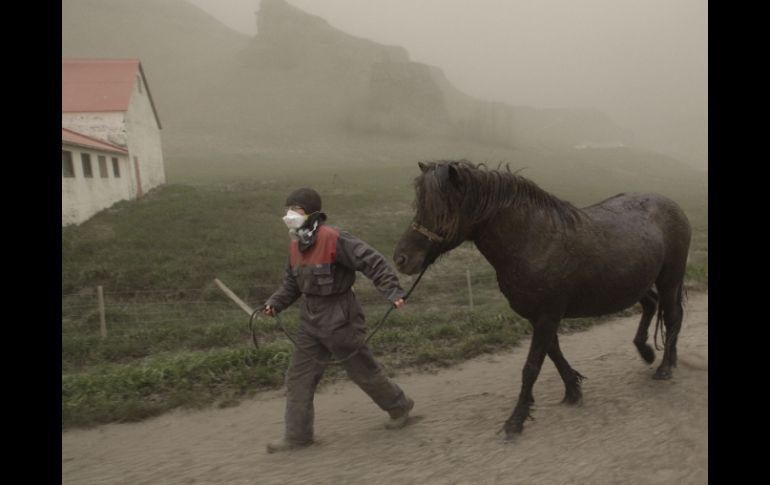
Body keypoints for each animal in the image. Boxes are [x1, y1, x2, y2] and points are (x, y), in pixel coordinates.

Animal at [390, 161, 688, 440]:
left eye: (443, 210)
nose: (401, 258)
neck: (532, 241)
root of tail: (674, 205)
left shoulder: (547, 316)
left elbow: (532, 367)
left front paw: (515, 421)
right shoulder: (539, 317)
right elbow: (553, 354)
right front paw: (573, 390)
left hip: (669, 280)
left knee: (672, 317)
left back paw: (664, 367)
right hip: (638, 283)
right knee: (653, 306)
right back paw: (650, 353)